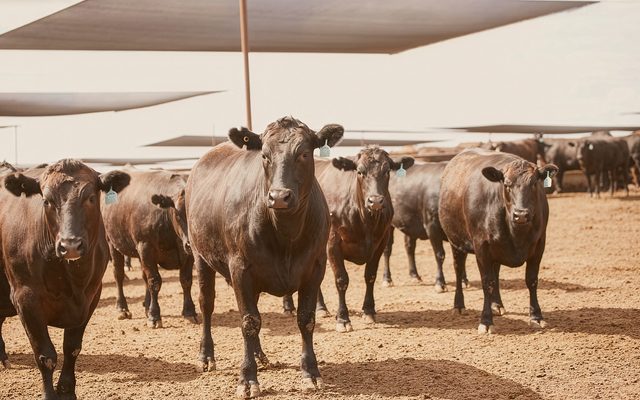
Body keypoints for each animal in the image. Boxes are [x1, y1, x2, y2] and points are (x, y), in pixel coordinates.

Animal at [0, 160, 130, 399]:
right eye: (46, 200)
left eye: (90, 197)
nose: (70, 245)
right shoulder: (26, 299)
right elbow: (46, 356)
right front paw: (50, 394)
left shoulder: (91, 298)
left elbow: (72, 348)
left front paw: (67, 390)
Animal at [101, 169, 195, 328]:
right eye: (178, 213)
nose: (191, 243)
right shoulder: (146, 247)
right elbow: (154, 282)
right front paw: (154, 315)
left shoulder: (188, 254)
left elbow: (186, 280)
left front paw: (189, 311)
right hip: (112, 243)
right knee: (118, 274)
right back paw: (122, 308)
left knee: (144, 277)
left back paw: (146, 304)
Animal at [186, 117, 344, 398]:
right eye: (264, 155)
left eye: (304, 153)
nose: (279, 197)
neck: (285, 234)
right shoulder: (240, 269)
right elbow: (248, 322)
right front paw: (248, 379)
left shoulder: (315, 268)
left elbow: (306, 320)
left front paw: (311, 373)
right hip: (200, 257)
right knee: (207, 304)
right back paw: (206, 356)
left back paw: (260, 355)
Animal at [381, 161, 469, 292]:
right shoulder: (432, 227)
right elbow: (439, 255)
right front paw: (440, 283)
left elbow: (461, 257)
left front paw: (463, 281)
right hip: (388, 225)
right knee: (387, 250)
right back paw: (387, 279)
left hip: (410, 223)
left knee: (409, 247)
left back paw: (415, 275)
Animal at [438, 149, 557, 334]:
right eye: (507, 184)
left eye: (534, 184)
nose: (521, 215)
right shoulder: (481, 247)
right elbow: (487, 282)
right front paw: (486, 321)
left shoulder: (539, 245)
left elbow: (531, 280)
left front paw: (536, 316)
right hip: (456, 242)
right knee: (459, 270)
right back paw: (458, 305)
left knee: (496, 272)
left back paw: (497, 304)